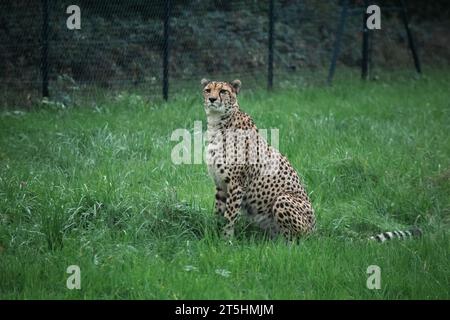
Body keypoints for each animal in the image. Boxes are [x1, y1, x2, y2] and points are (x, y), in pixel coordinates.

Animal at [202, 79, 314, 239]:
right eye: (207, 90)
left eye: (223, 91)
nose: (212, 99)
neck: (217, 123)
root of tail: (315, 229)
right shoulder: (220, 184)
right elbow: (218, 212)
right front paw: (213, 234)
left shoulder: (236, 185)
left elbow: (230, 215)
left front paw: (226, 239)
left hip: (283, 200)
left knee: (294, 239)